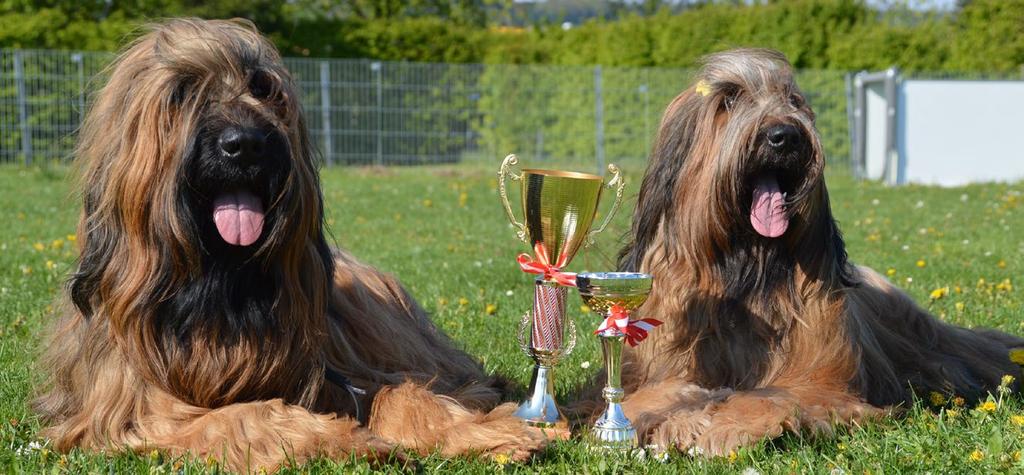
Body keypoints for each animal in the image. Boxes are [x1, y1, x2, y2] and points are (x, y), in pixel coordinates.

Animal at [32, 17, 548, 470]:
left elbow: (402, 393)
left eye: (263, 88)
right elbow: (240, 417)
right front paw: (347, 441)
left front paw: (487, 431)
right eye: (184, 89)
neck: (221, 291)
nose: (245, 144)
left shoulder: (345, 371)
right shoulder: (133, 412)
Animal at [606, 49, 1024, 456]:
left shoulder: (819, 382)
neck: (745, 274)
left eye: (794, 101)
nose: (785, 136)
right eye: (729, 99)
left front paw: (720, 427)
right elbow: (646, 394)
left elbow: (772, 395)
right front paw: (678, 416)